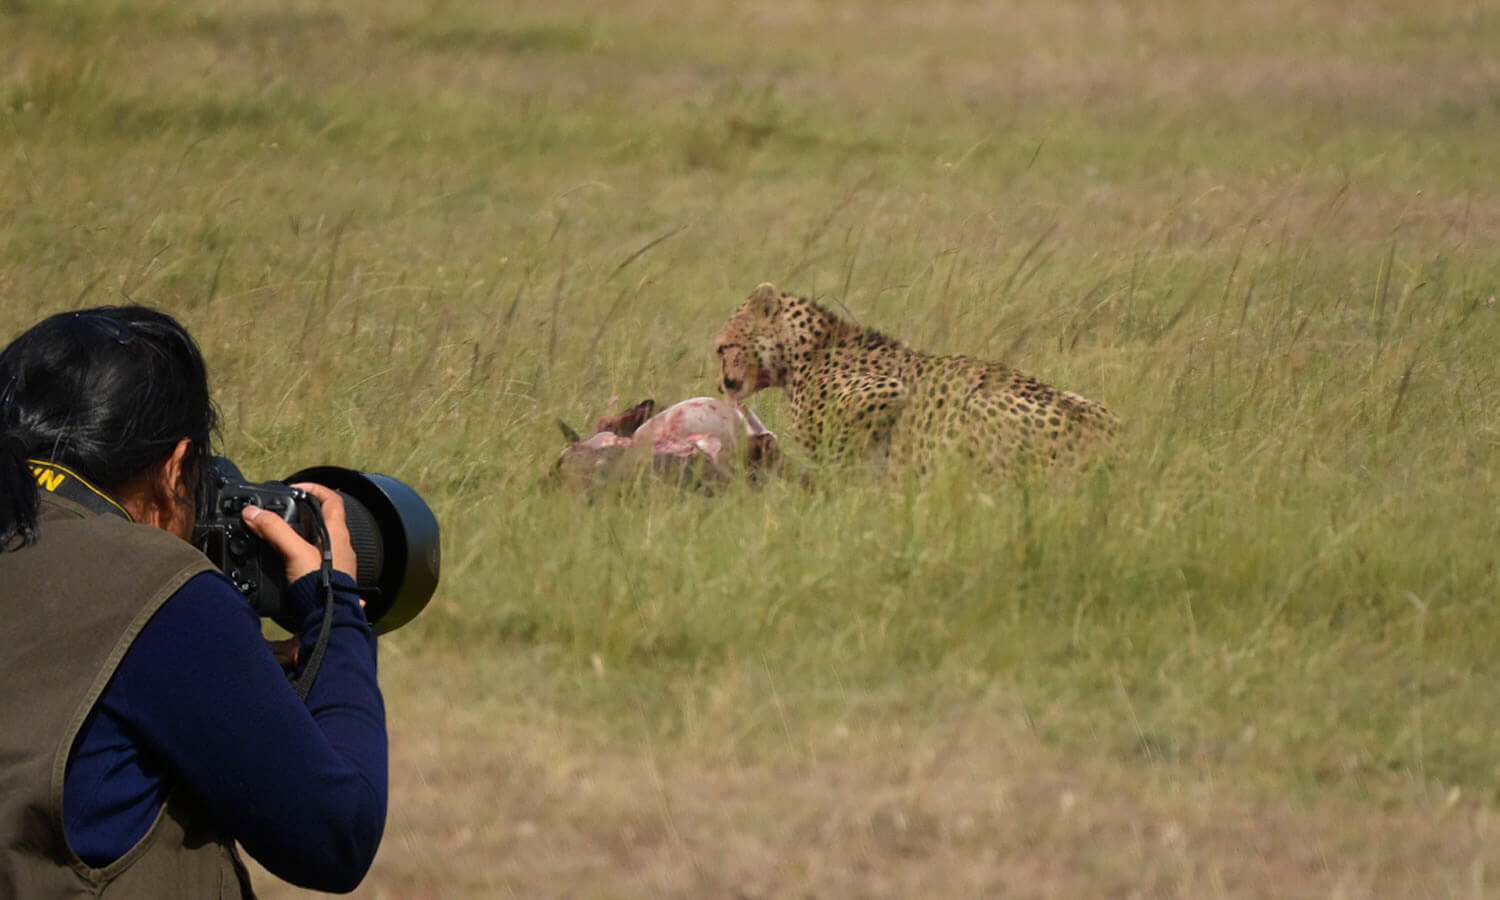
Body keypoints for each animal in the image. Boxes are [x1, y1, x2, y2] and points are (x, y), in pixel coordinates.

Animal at [711, 283, 1116, 471]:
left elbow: (840, 458)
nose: (723, 384)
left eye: (722, 348)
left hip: (975, 410)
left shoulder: (885, 391)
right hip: (1095, 405)